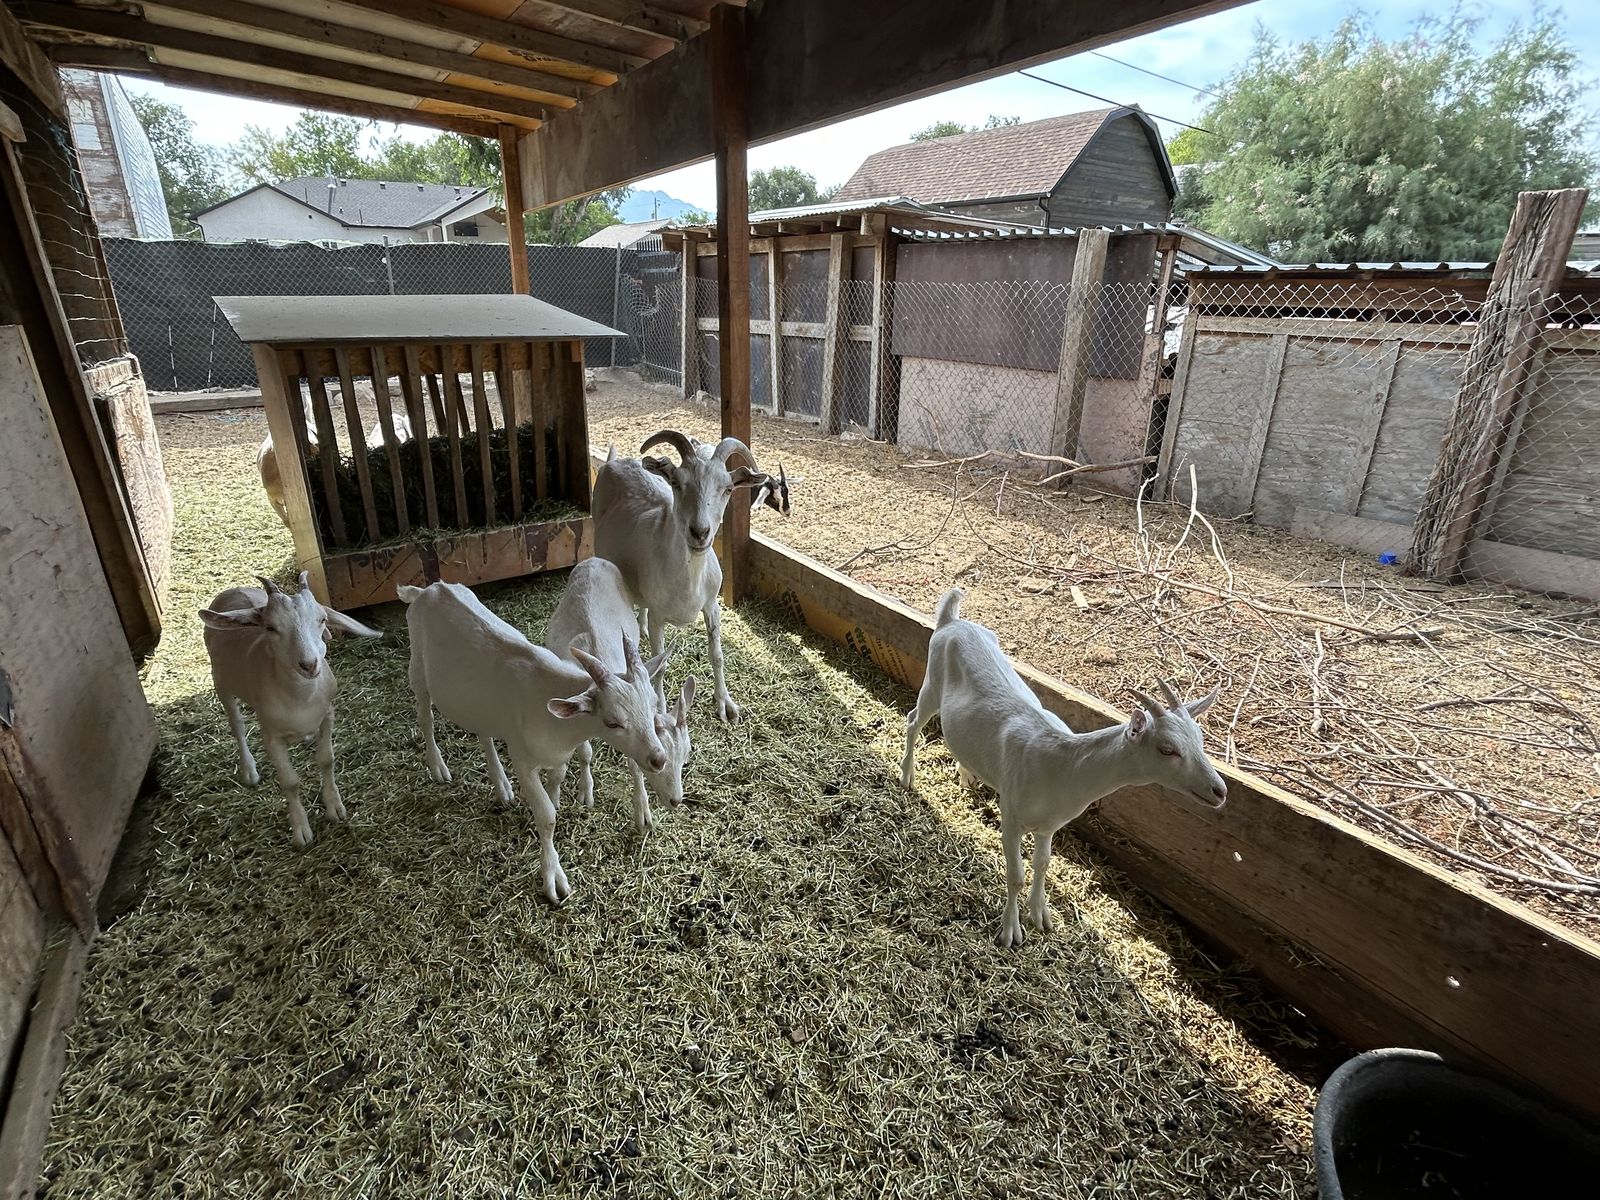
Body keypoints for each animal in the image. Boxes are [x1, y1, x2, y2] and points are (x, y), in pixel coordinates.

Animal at [199, 572, 381, 847]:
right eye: (271, 628)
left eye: (322, 619)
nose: (309, 664)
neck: (301, 699)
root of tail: (234, 589)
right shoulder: (271, 736)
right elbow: (290, 782)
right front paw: (301, 831)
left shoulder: (327, 716)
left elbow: (326, 760)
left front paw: (335, 808)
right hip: (220, 682)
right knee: (237, 725)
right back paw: (249, 771)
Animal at [399, 580, 668, 903]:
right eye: (612, 722)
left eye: (653, 705)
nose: (658, 758)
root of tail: (428, 590)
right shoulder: (522, 760)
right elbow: (547, 816)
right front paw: (554, 879)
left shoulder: (558, 752)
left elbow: (558, 779)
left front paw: (554, 798)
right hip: (417, 668)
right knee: (425, 717)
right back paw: (438, 767)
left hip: (479, 702)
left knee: (483, 730)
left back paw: (501, 786)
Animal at [544, 558, 697, 832]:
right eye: (613, 722)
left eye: (685, 756)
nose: (676, 800)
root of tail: (593, 559)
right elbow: (584, 752)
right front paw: (585, 792)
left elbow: (634, 764)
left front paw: (643, 813)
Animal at [592, 429, 769, 722]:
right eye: (676, 482)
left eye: (728, 488)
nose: (700, 532)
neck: (689, 579)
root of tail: (613, 462)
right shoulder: (659, 617)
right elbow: (660, 664)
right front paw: (661, 711)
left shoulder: (711, 605)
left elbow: (717, 654)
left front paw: (726, 706)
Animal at [902, 588, 1227, 947]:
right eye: (1168, 749)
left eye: (1200, 740)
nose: (1219, 791)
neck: (1061, 765)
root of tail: (952, 620)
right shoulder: (1011, 816)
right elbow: (1016, 874)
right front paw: (1011, 932)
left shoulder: (1049, 825)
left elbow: (1043, 864)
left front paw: (1041, 916)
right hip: (931, 682)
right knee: (913, 721)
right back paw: (907, 777)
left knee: (953, 734)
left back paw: (968, 777)